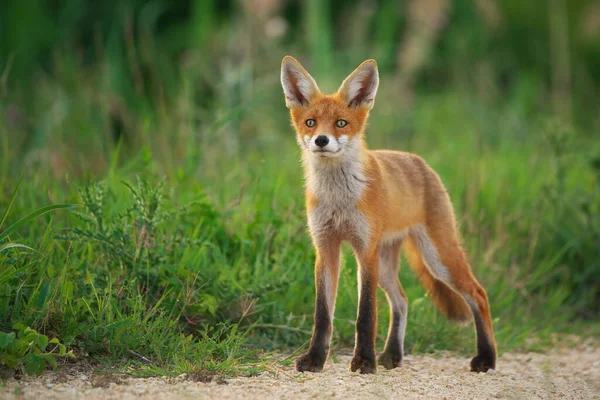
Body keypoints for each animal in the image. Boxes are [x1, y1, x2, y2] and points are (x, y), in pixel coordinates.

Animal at [282, 56, 496, 376]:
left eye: (341, 123)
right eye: (310, 122)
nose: (321, 140)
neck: (339, 199)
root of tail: (420, 162)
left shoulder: (365, 250)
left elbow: (366, 315)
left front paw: (364, 361)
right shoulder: (326, 249)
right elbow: (322, 317)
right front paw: (315, 359)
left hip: (438, 258)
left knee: (479, 295)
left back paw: (487, 358)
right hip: (388, 266)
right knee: (402, 301)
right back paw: (393, 354)